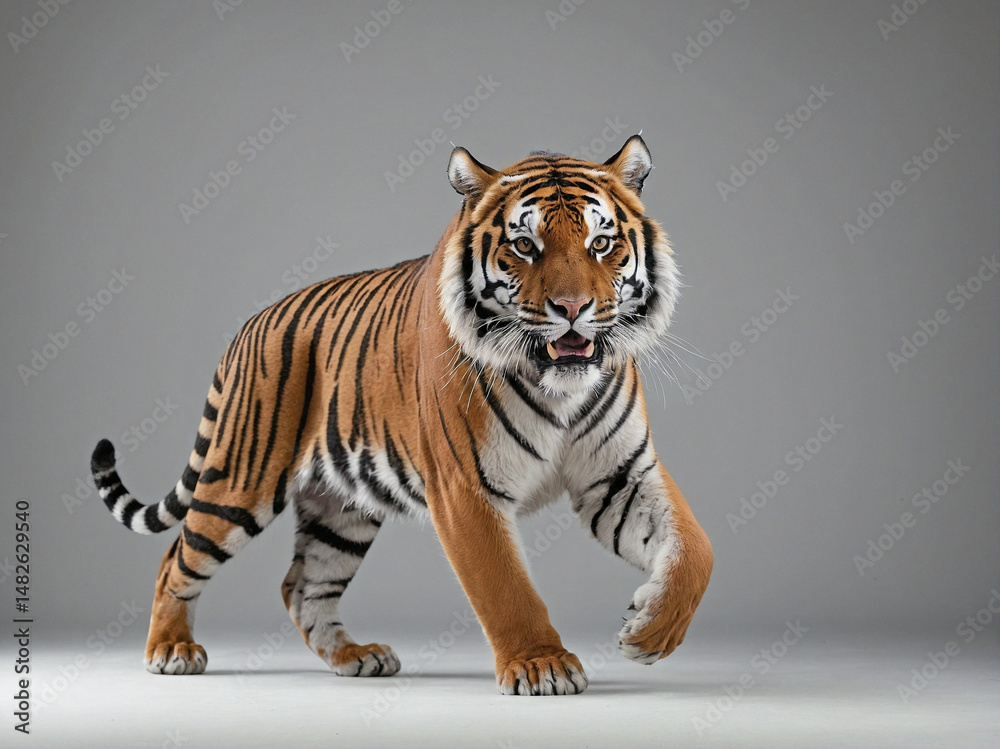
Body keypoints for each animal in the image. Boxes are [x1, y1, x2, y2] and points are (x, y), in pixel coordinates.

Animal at [89, 134, 713, 696]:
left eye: (602, 243)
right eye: (525, 246)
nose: (573, 309)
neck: (560, 389)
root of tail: (250, 325)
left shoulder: (620, 475)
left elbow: (696, 550)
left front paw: (649, 632)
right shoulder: (465, 489)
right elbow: (505, 586)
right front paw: (542, 665)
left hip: (341, 510)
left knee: (302, 584)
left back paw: (354, 657)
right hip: (241, 482)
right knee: (177, 558)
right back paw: (171, 650)